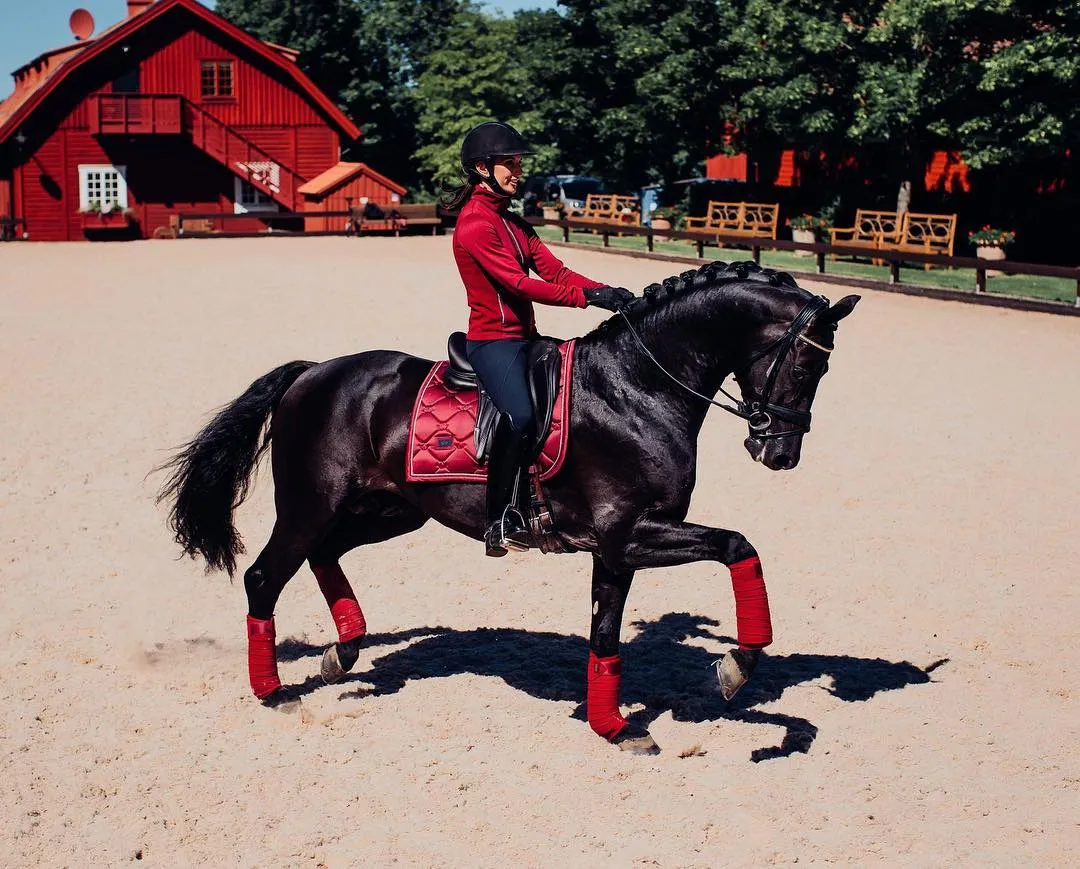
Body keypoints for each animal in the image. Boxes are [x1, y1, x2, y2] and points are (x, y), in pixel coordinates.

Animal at [156, 259, 859, 751]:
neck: (637, 387)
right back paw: (276, 693)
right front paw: (739, 667)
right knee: (264, 577)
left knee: (323, 557)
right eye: (806, 366)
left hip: (390, 511)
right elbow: (739, 545)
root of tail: (312, 372)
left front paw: (613, 727)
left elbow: (606, 632)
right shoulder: (632, 533)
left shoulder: (617, 547)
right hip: (311, 505)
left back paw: (344, 651)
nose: (780, 453)